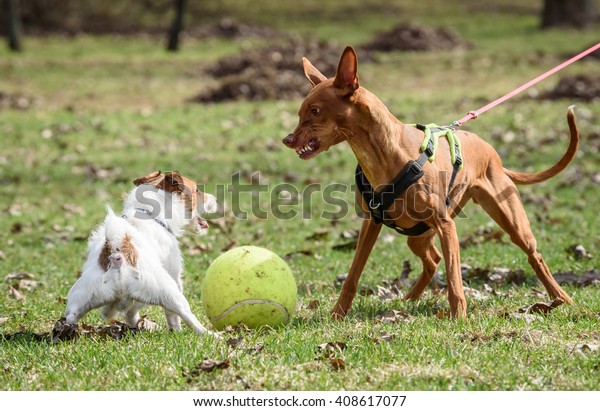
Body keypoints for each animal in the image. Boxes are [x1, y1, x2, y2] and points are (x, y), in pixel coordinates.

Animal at [65, 171, 218, 338]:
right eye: (197, 190)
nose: (216, 198)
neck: (151, 214)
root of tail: (118, 256)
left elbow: (131, 312)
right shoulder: (174, 274)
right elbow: (172, 317)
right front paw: (176, 331)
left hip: (79, 299)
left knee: (71, 318)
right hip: (171, 293)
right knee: (188, 317)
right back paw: (211, 335)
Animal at [284, 46, 580, 320]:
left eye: (315, 110)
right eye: (300, 113)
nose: (288, 140)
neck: (384, 154)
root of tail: (492, 153)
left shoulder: (445, 225)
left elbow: (454, 278)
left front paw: (458, 317)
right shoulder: (371, 222)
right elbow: (353, 275)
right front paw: (337, 313)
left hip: (511, 222)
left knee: (534, 256)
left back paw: (562, 298)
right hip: (418, 235)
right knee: (433, 259)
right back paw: (410, 298)